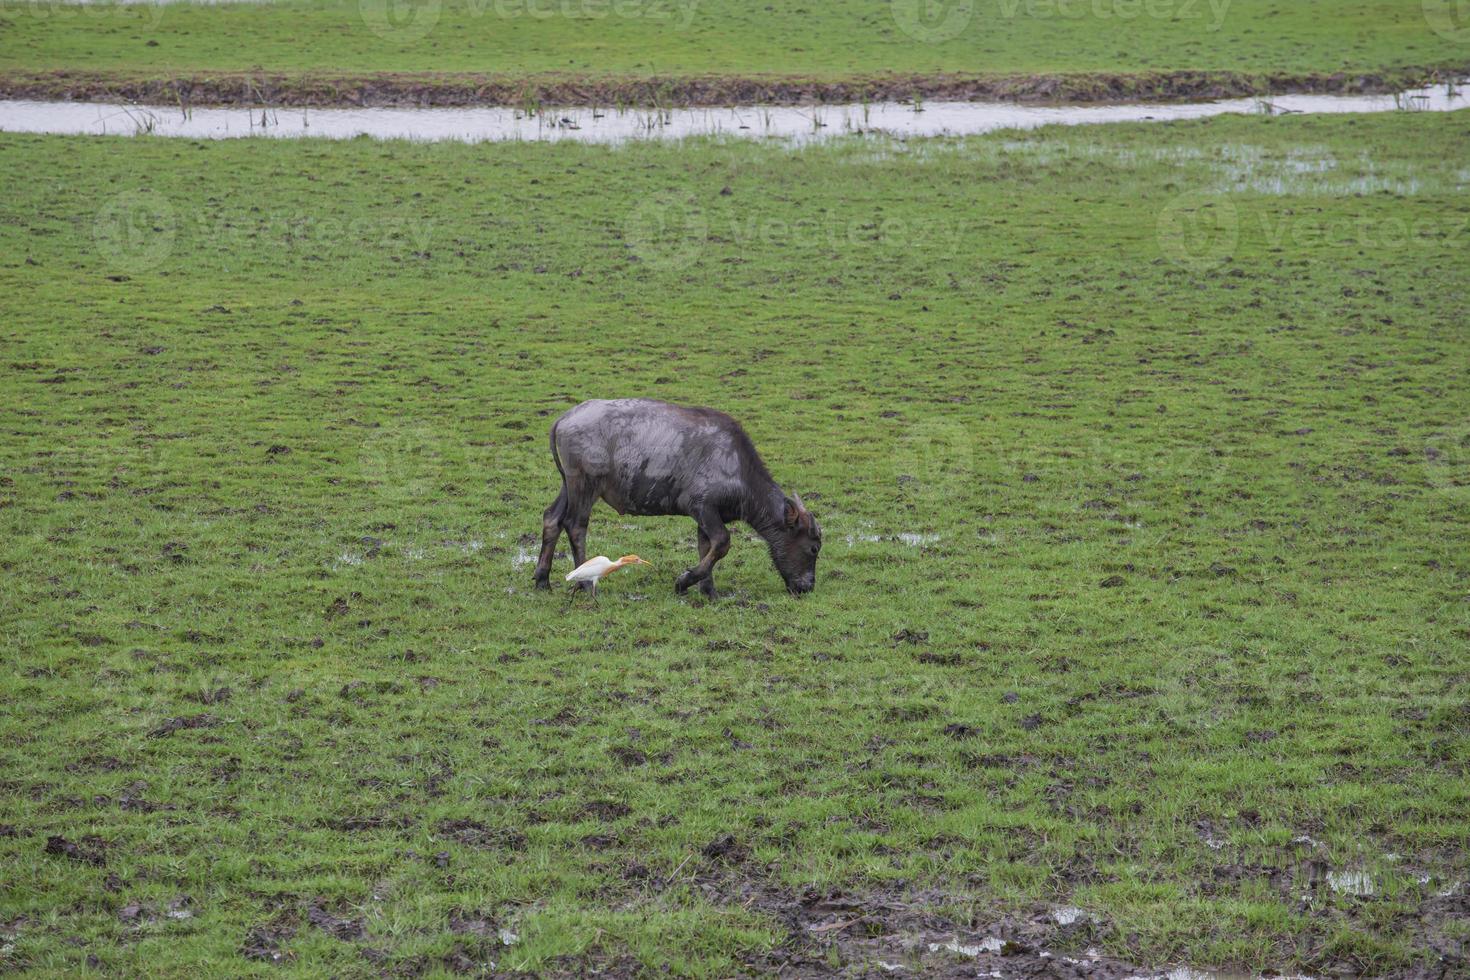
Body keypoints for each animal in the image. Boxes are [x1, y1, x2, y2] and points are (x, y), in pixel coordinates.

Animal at [535, 399, 823, 599]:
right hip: (585, 486)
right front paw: (684, 581)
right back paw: (584, 582)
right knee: (575, 525)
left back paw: (542, 580)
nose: (807, 587)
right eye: (813, 548)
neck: (737, 467)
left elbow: (706, 548)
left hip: (567, 485)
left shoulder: (707, 518)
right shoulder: (702, 507)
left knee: (552, 518)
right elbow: (722, 543)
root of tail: (564, 419)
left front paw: (709, 591)